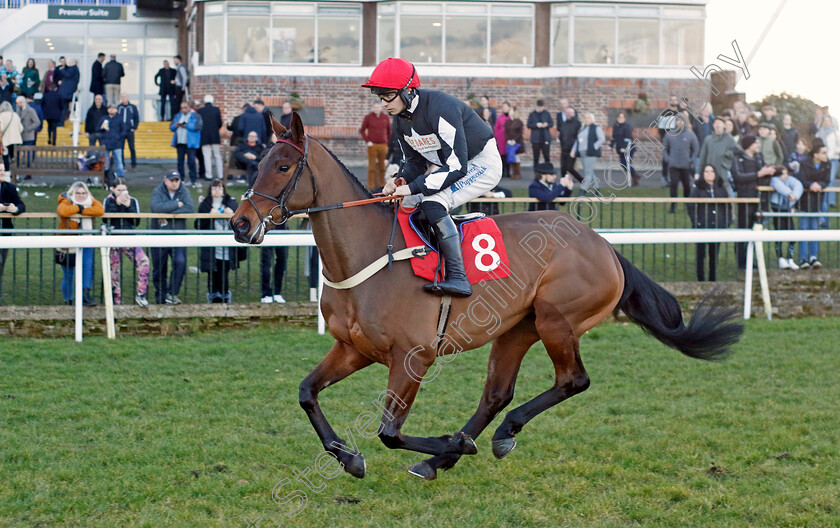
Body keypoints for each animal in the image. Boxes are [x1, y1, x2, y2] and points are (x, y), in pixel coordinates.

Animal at [230, 113, 740, 480]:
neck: (369, 257)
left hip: (556, 320)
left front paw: (447, 442)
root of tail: (602, 244)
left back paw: (492, 436)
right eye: (256, 163)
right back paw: (445, 457)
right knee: (496, 393)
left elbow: (389, 431)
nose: (239, 223)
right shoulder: (353, 348)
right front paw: (350, 458)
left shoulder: (414, 356)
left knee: (572, 381)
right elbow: (306, 393)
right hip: (516, 328)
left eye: (283, 166)